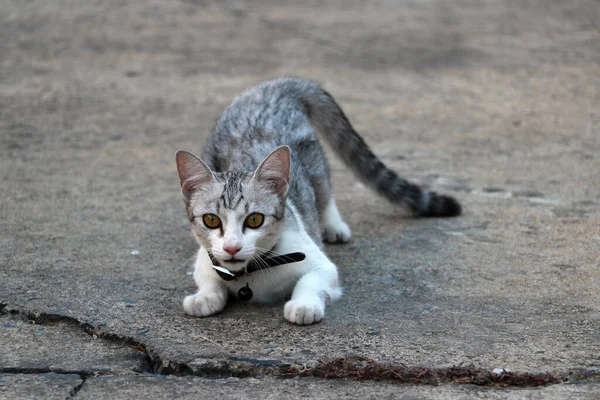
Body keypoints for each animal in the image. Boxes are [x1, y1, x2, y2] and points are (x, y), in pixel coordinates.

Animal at [176, 78, 462, 324]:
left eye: (254, 219)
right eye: (211, 220)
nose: (232, 247)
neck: (251, 274)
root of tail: (270, 87)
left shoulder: (321, 264)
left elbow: (311, 280)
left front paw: (304, 305)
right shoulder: (206, 259)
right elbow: (208, 278)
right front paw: (205, 297)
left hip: (313, 162)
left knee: (324, 191)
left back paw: (334, 224)